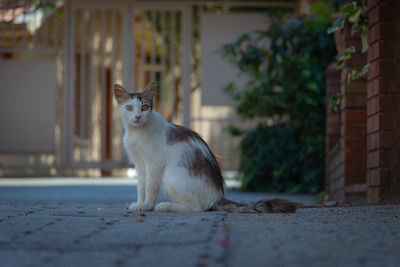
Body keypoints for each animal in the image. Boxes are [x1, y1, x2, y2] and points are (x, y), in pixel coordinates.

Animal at [114, 81, 296, 214]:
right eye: (129, 108)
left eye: (144, 107)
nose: (137, 117)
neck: (136, 132)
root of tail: (217, 196)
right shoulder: (140, 165)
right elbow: (141, 187)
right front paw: (139, 203)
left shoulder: (155, 163)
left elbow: (150, 187)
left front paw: (147, 206)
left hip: (170, 175)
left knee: (198, 207)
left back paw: (165, 206)